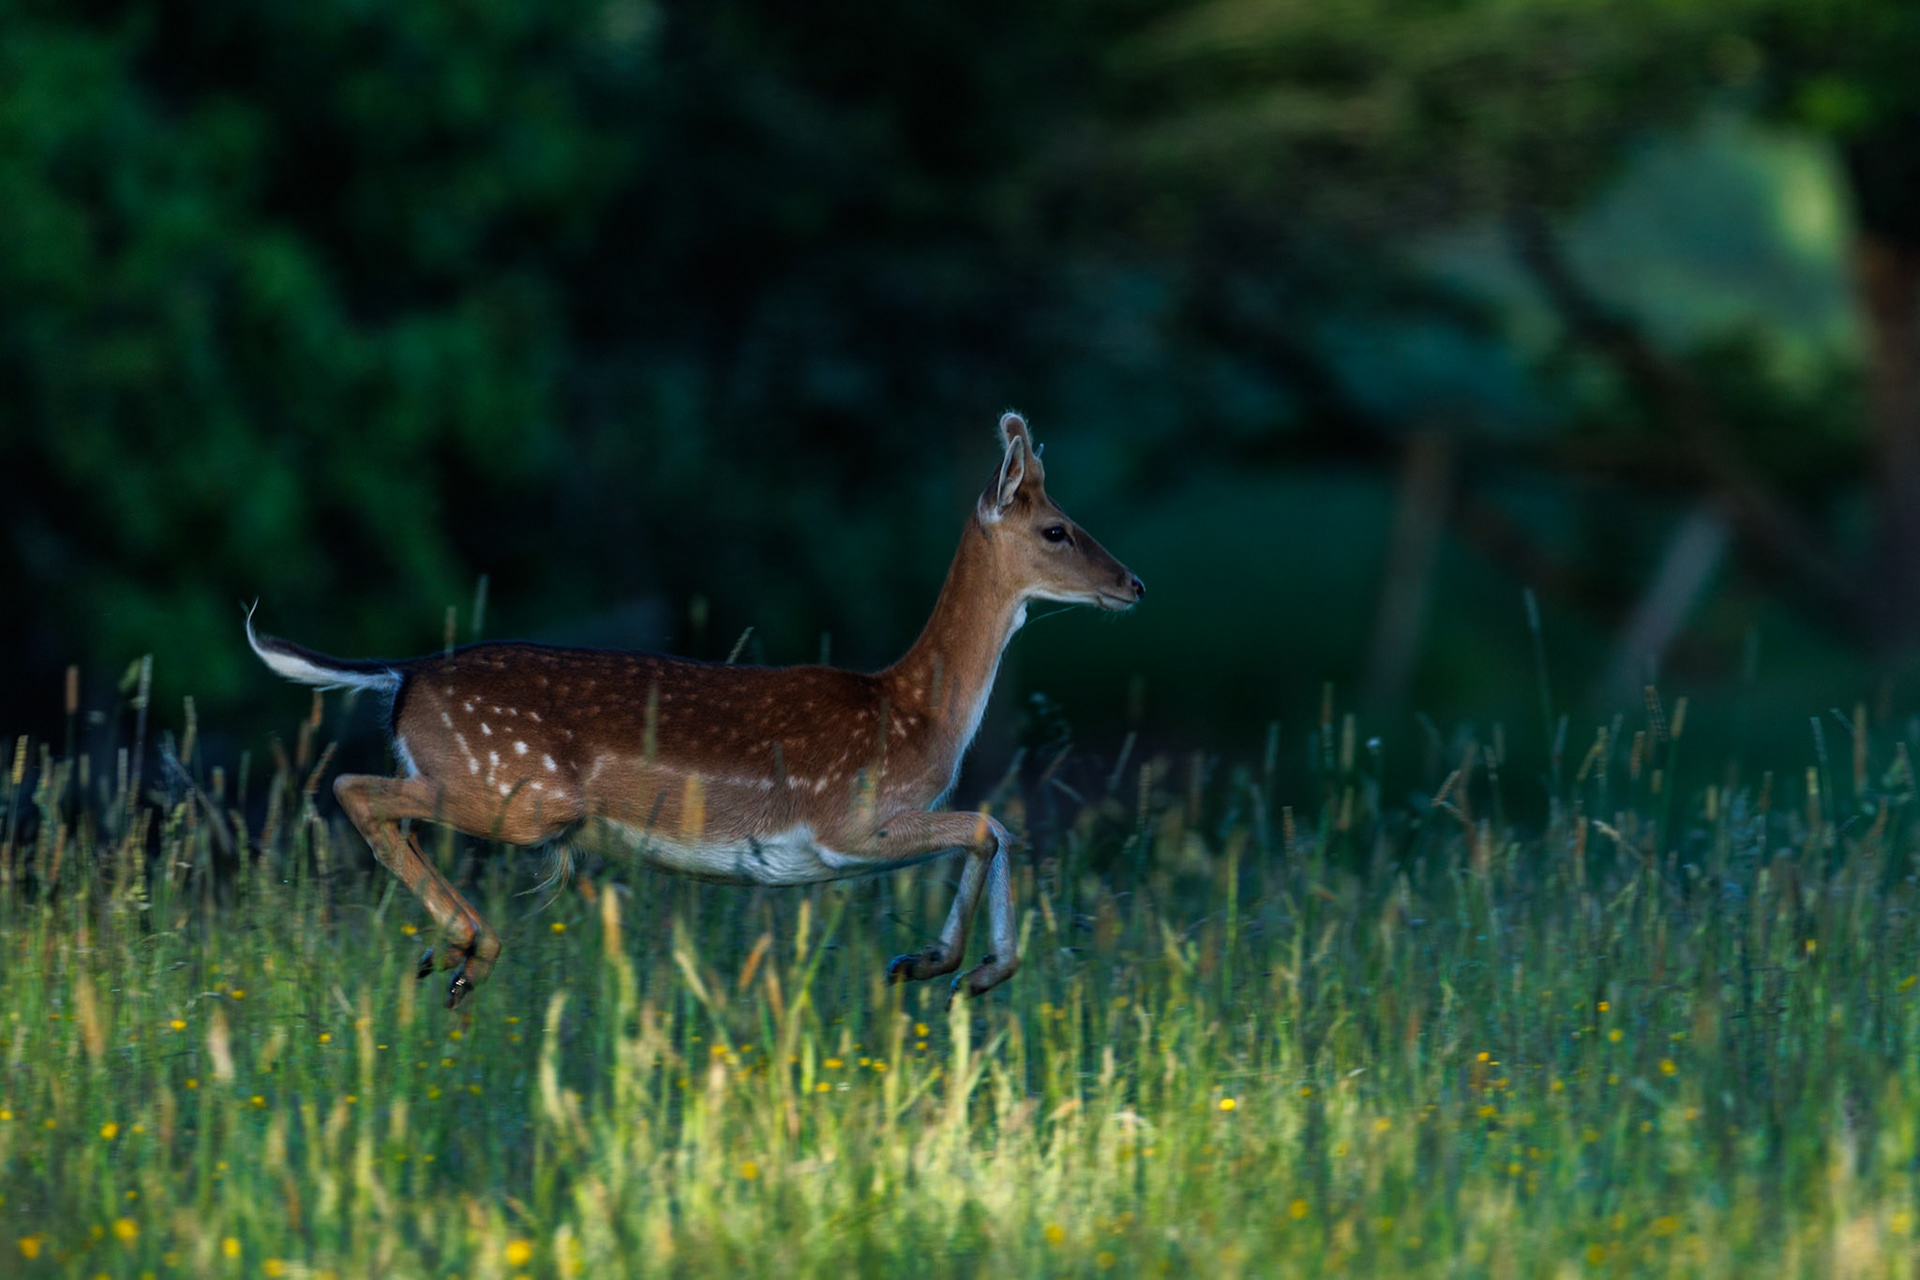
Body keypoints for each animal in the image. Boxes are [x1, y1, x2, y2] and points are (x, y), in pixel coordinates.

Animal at [247, 412, 1144, 1008]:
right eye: (1058, 529)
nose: (1133, 583)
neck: (915, 713)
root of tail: (405, 674)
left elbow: (994, 829)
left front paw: (935, 965)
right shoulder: (847, 823)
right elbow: (990, 826)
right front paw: (956, 966)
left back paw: (455, 955)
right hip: (519, 794)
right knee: (357, 789)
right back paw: (472, 948)